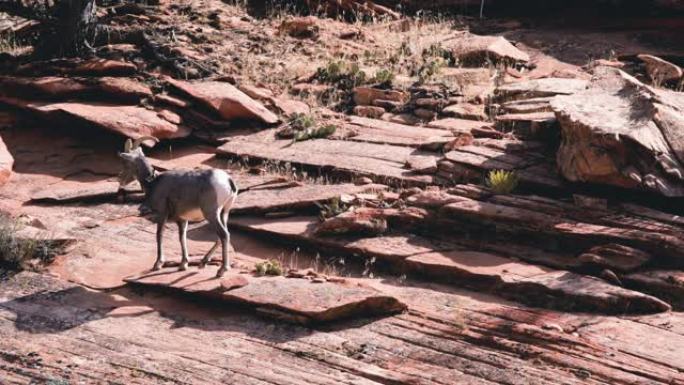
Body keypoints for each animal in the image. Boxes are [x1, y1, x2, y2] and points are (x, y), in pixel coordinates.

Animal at [121, 136, 239, 278]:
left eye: (126, 163)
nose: (120, 180)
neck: (153, 183)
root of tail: (228, 181)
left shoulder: (162, 214)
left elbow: (159, 235)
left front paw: (158, 264)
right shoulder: (182, 219)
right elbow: (182, 237)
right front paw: (183, 264)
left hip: (211, 214)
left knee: (224, 235)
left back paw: (221, 270)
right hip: (224, 213)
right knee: (221, 236)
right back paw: (203, 262)